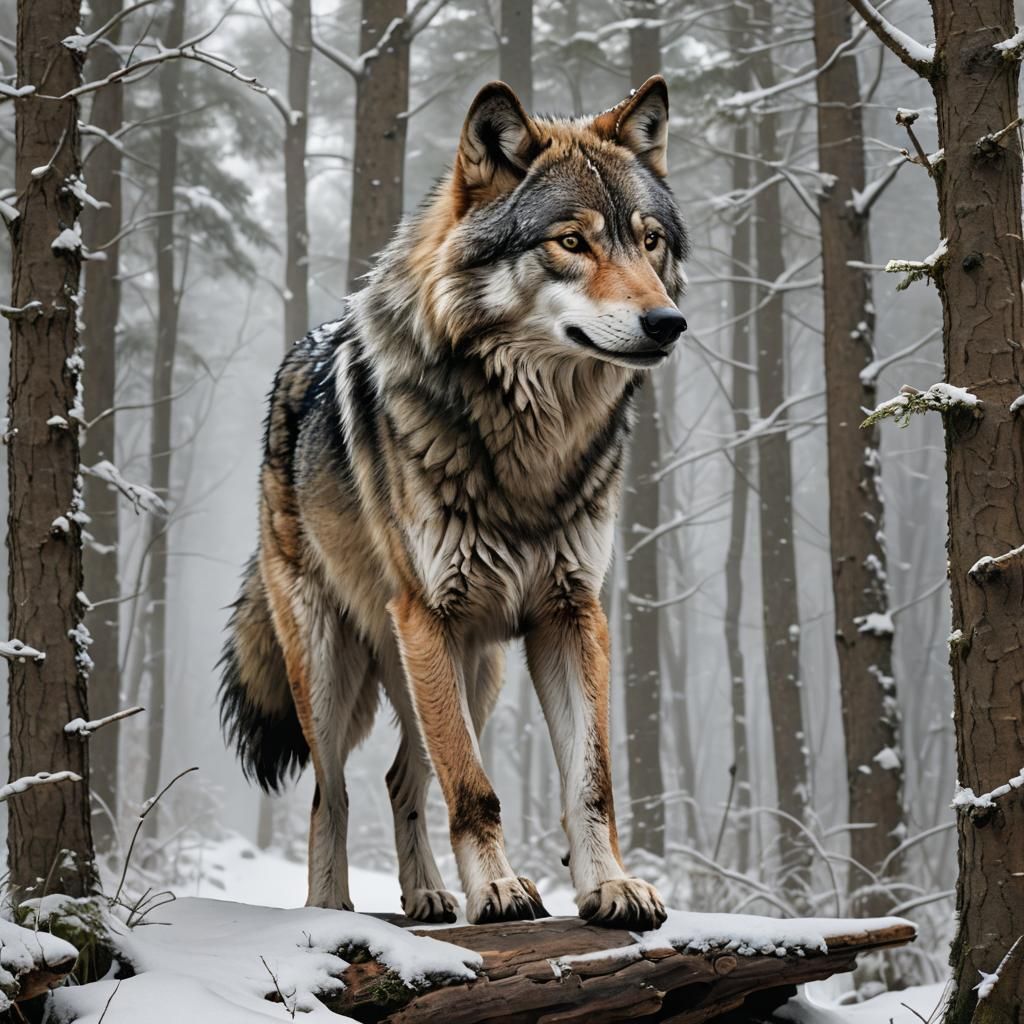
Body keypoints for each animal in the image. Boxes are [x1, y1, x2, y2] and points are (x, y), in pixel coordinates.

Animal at [219, 75, 688, 930]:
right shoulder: (427, 615)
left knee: (401, 777)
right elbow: (473, 787)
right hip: (337, 669)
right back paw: (331, 910)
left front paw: (611, 886)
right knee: (332, 793)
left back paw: (429, 895)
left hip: (474, 672)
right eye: (572, 243)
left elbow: (591, 781)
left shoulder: (571, 614)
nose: (668, 322)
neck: (531, 442)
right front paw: (499, 891)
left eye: (649, 242)